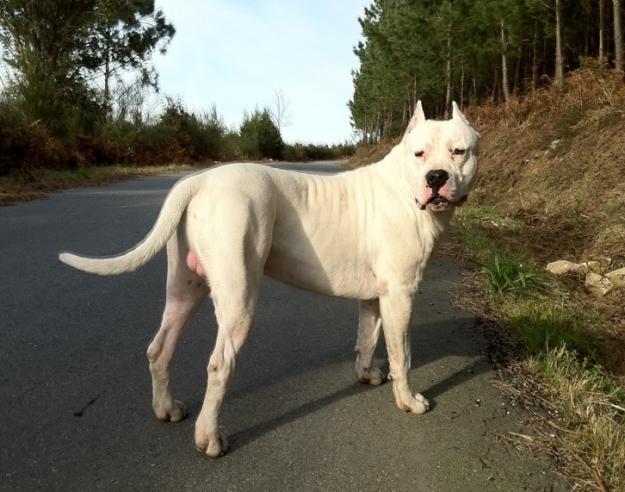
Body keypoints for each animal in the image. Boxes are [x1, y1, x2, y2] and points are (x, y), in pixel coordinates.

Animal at [59, 102, 478, 460]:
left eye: (459, 152)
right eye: (419, 154)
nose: (436, 177)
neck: (403, 188)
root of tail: (199, 181)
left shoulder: (377, 296)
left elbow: (367, 338)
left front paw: (366, 374)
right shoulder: (401, 294)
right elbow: (401, 354)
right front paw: (409, 401)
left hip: (185, 289)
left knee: (159, 348)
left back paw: (166, 408)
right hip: (238, 297)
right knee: (219, 365)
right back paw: (210, 438)